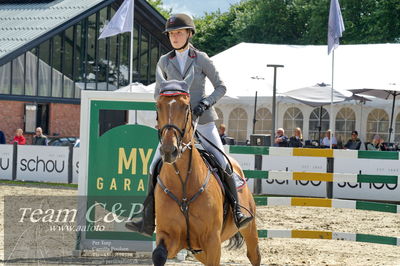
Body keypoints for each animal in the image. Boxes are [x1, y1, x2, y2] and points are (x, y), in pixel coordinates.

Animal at [152, 82, 260, 264]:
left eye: (185, 107)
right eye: (158, 106)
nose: (168, 150)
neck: (183, 183)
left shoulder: (212, 242)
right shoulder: (168, 236)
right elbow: (158, 255)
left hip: (249, 228)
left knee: (254, 255)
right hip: (198, 250)